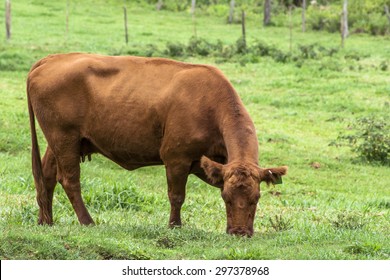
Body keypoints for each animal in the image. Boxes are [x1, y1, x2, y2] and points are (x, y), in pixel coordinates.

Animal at [25, 53, 284, 236]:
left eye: (256, 199)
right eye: (226, 198)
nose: (239, 233)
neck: (210, 105)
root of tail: (52, 59)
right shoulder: (176, 158)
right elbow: (177, 196)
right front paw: (174, 226)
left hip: (63, 141)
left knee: (46, 176)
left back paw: (46, 221)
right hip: (64, 138)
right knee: (69, 180)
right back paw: (87, 222)